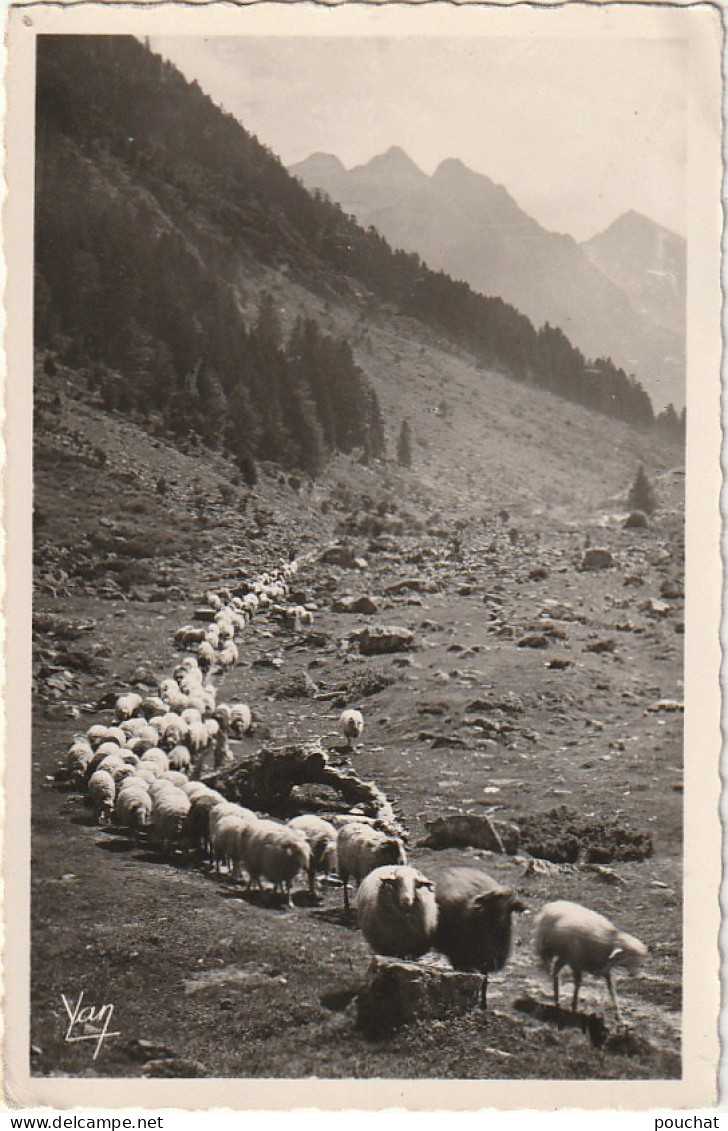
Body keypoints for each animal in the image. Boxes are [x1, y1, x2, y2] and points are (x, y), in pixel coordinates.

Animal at [431, 864, 522, 1008]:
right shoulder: (461, 956)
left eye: (511, 906)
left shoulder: (487, 959)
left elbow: (484, 980)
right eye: (493, 899)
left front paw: (483, 1003)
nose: (499, 919)